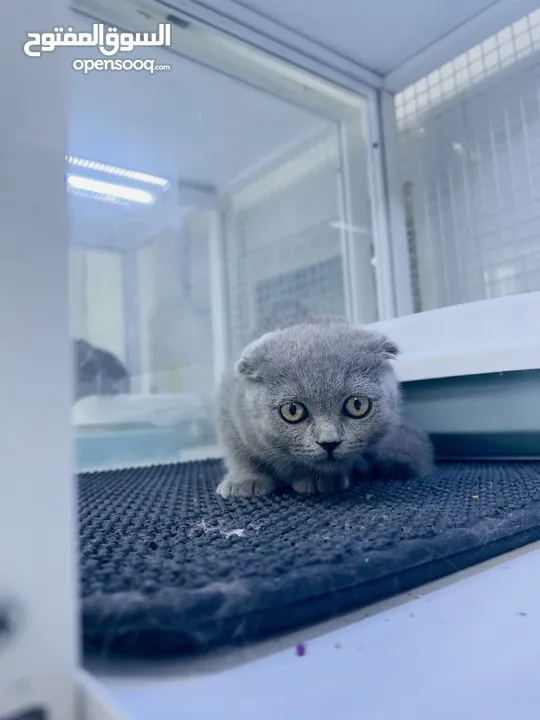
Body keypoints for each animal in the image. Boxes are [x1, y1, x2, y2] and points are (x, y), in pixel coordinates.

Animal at [217, 316, 432, 500]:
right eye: (292, 410)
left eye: (357, 405)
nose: (329, 442)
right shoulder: (230, 413)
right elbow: (239, 453)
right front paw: (245, 480)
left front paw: (322, 479)